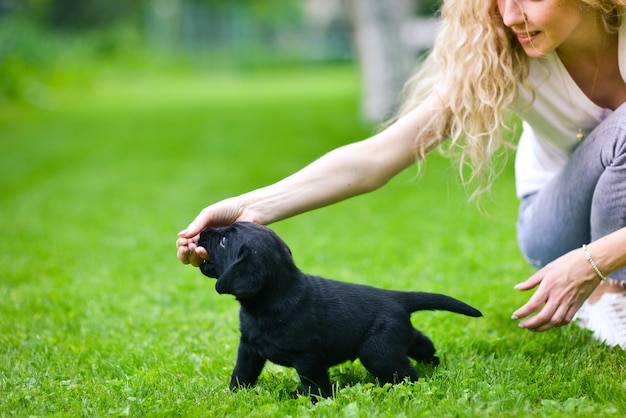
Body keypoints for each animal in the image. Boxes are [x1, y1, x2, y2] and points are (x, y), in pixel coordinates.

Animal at [197, 220, 480, 400]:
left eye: (223, 241)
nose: (203, 232)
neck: (268, 302)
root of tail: (396, 298)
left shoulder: (307, 357)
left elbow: (315, 385)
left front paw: (316, 404)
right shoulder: (249, 349)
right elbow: (241, 375)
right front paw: (233, 395)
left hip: (377, 352)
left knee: (406, 374)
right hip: (397, 338)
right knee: (422, 344)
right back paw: (435, 365)